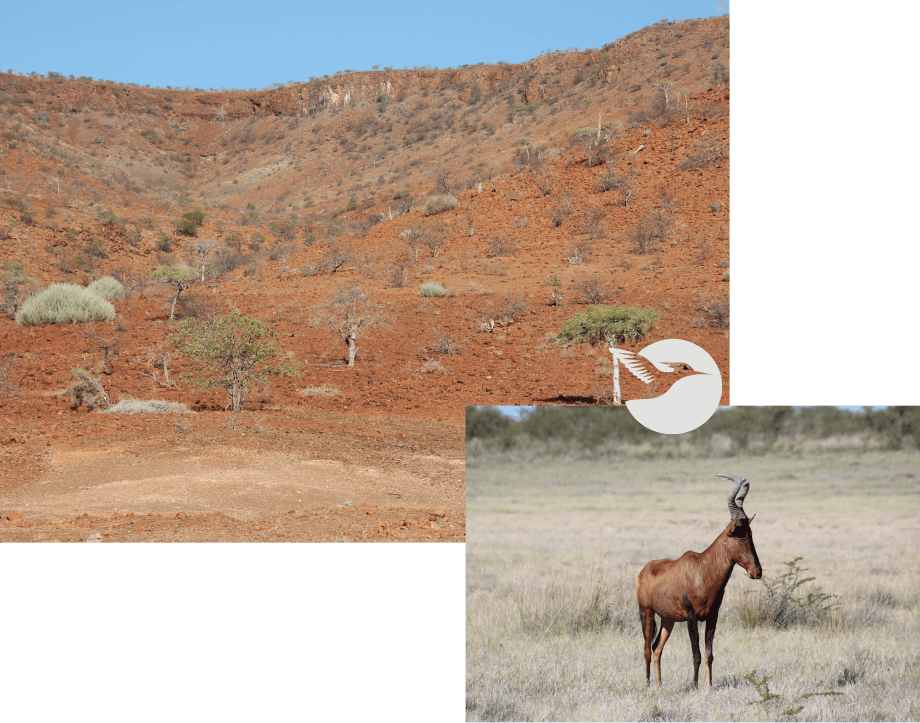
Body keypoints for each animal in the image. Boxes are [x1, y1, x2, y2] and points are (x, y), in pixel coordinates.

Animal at [640, 476, 760, 692]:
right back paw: (646, 684)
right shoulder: (691, 616)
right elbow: (695, 653)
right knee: (646, 649)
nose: (757, 572)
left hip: (668, 619)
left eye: (751, 533)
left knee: (656, 648)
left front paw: (709, 685)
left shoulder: (713, 616)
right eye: (740, 536)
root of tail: (645, 569)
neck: (701, 569)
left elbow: (708, 654)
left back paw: (659, 685)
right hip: (646, 612)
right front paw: (695, 686)